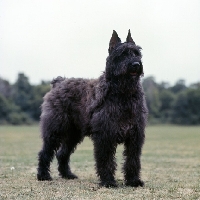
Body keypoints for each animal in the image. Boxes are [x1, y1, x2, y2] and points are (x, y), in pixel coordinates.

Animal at [36, 29, 148, 188]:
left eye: (137, 53)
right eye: (122, 54)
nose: (136, 64)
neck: (123, 94)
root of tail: (59, 83)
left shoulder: (135, 136)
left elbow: (133, 160)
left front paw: (133, 181)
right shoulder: (105, 135)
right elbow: (106, 160)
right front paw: (108, 181)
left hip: (73, 134)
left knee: (62, 153)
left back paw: (67, 174)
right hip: (55, 130)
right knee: (45, 152)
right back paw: (43, 175)